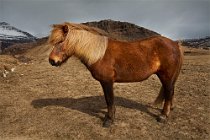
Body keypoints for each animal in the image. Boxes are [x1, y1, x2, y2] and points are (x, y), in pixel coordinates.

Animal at [47, 22, 182, 127]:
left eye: (61, 41)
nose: (52, 61)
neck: (99, 54)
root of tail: (175, 44)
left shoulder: (107, 81)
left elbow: (109, 99)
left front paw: (109, 120)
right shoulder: (104, 82)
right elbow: (108, 100)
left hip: (166, 76)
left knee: (169, 92)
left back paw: (163, 116)